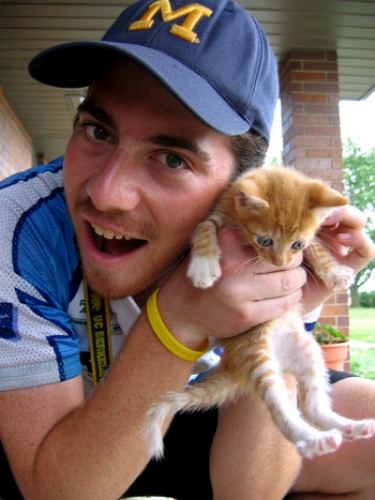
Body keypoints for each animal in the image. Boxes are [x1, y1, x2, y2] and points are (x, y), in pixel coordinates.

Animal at [145, 169, 375, 460]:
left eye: (297, 244)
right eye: (264, 240)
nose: (280, 263)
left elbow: (317, 247)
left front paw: (333, 272)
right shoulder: (216, 214)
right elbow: (204, 229)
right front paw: (203, 266)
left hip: (308, 350)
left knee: (312, 407)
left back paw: (349, 428)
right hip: (256, 354)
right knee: (279, 407)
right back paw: (314, 440)